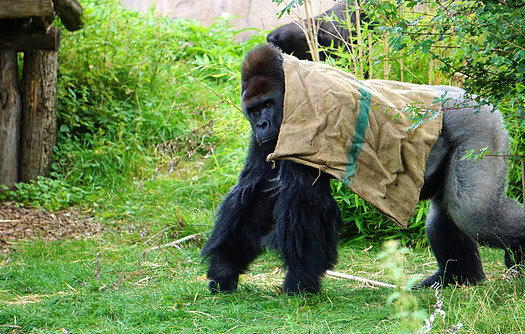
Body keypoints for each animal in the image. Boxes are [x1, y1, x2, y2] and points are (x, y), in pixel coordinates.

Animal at [201, 42, 524, 294]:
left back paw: (516, 257)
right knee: (445, 213)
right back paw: (458, 278)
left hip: (480, 125)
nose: (262, 124)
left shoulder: (305, 119)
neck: (289, 85)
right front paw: (225, 267)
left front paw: (300, 282)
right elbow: (257, 190)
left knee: (473, 211)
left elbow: (303, 199)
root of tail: (476, 98)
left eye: (267, 104)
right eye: (254, 110)